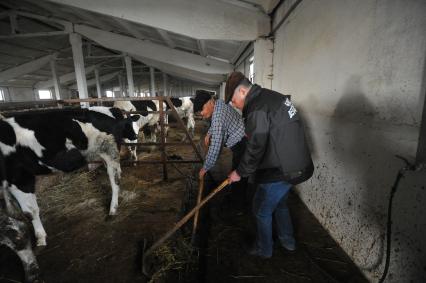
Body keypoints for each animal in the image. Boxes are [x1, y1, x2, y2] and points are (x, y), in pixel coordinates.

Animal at [0, 107, 143, 247]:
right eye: (129, 126)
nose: (135, 135)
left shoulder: (20, 177)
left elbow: (30, 211)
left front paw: (40, 238)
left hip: (109, 151)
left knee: (115, 180)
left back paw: (112, 210)